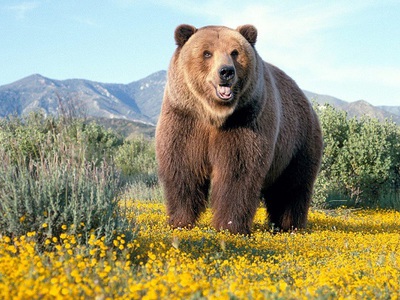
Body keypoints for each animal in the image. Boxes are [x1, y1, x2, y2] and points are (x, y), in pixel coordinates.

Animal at [155, 24, 324, 234]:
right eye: (207, 53)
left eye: (234, 52)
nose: (226, 72)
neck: (214, 114)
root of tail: (307, 101)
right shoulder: (185, 119)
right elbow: (183, 168)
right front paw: (180, 221)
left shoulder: (245, 121)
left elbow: (237, 172)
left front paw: (230, 226)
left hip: (298, 143)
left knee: (292, 187)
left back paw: (290, 226)